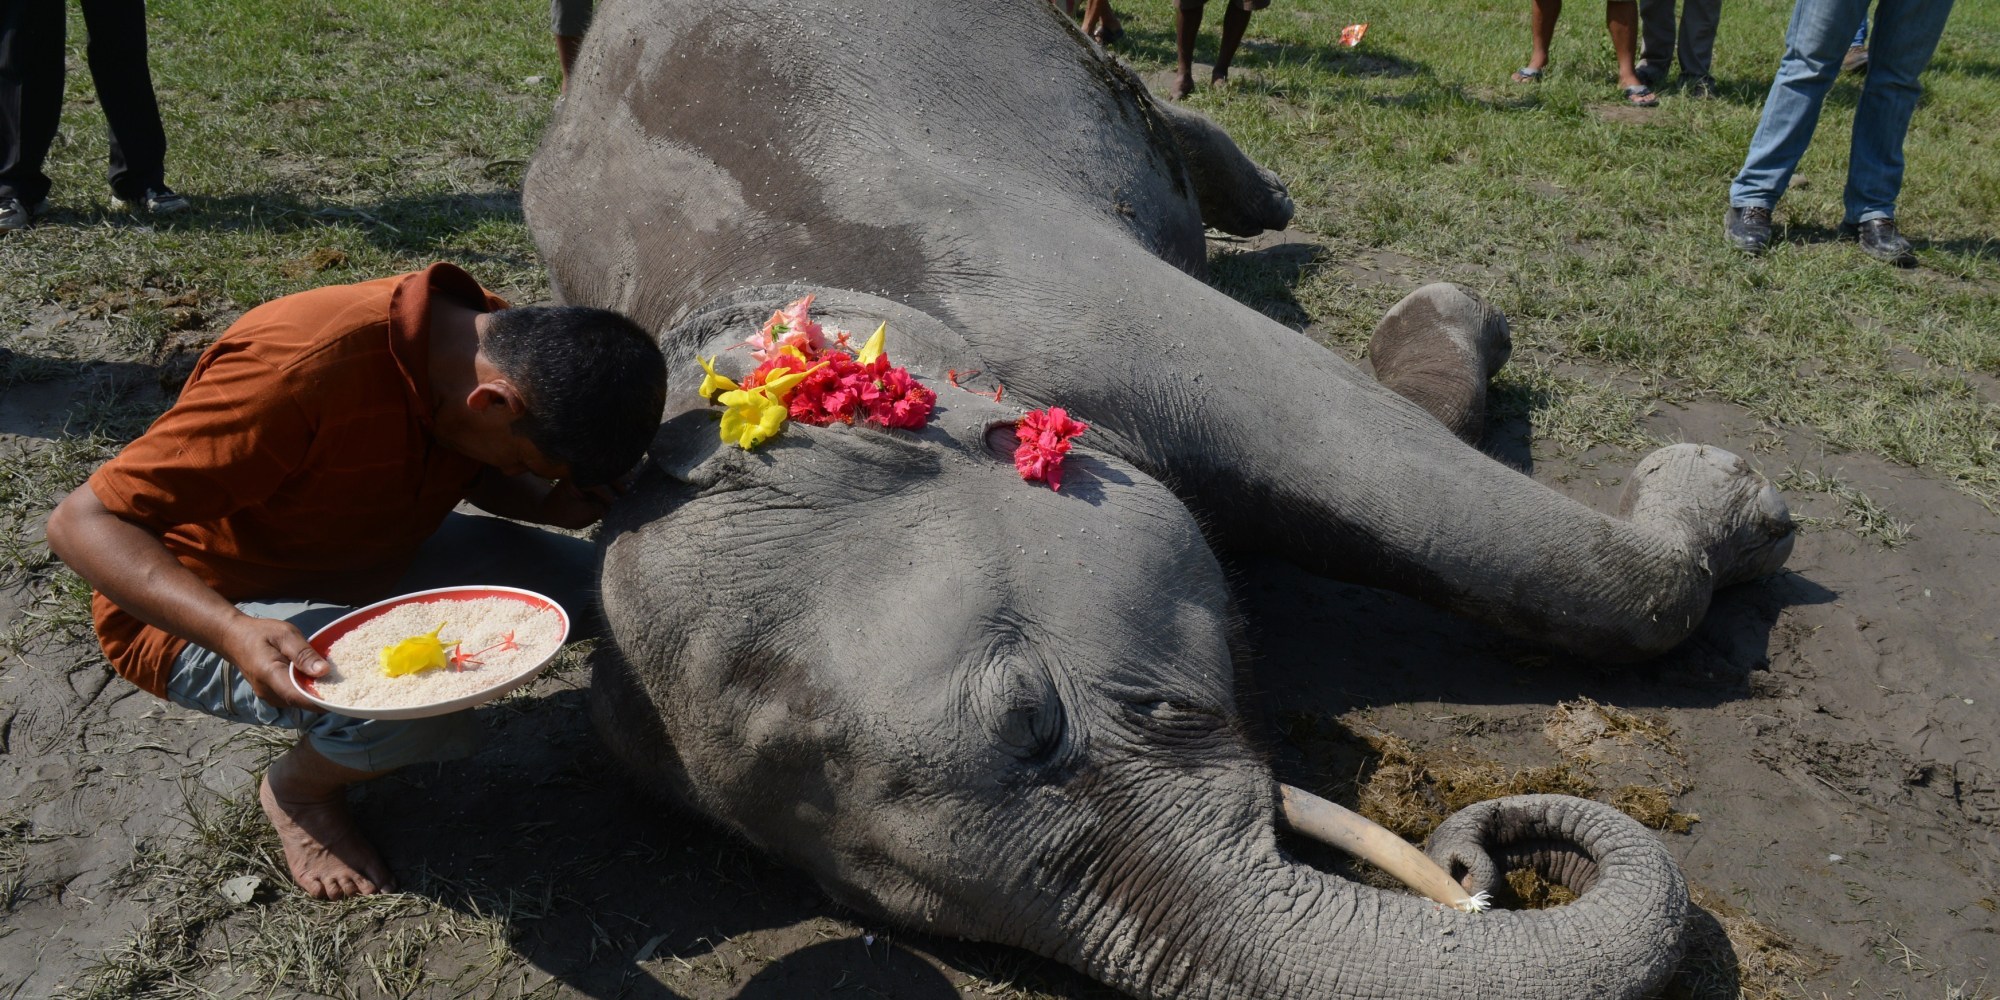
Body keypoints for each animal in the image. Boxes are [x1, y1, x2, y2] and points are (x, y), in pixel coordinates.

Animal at [522, 0, 1797, 997]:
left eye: (1031, 718)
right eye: (863, 896)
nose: (1477, 868)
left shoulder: (1051, 290)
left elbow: (1388, 462)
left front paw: (1731, 500)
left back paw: (1271, 199)